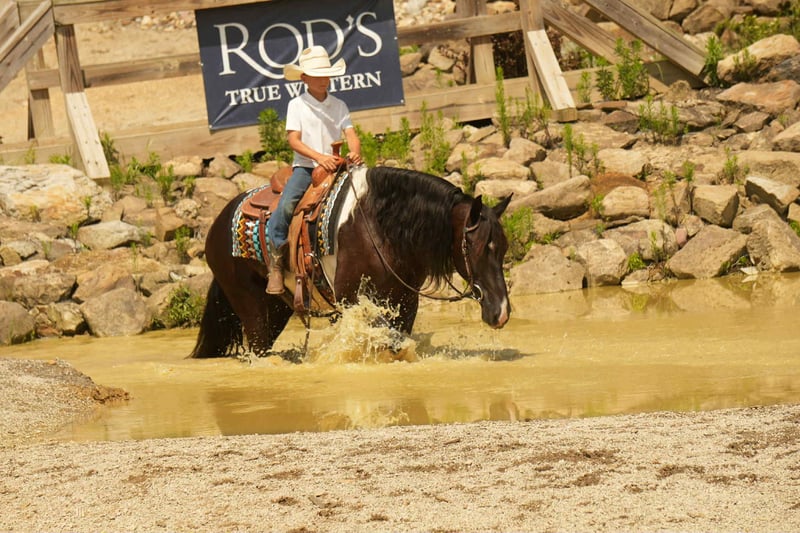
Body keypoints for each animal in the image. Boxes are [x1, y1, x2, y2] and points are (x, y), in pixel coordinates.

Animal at [190, 165, 511, 359]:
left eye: (503, 249)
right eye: (476, 247)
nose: (501, 313)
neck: (379, 226)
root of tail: (218, 223)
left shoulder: (405, 302)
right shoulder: (352, 299)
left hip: (278, 307)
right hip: (249, 304)